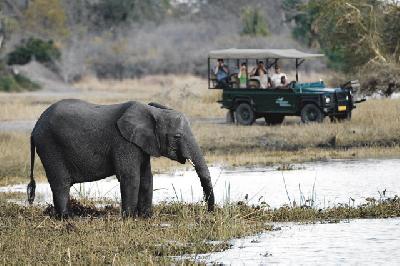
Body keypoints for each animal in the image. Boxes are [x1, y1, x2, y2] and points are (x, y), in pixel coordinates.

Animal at [26, 98, 214, 217]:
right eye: (177, 136)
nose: (209, 211)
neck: (153, 112)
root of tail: (34, 128)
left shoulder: (140, 144)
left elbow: (146, 178)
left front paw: (146, 217)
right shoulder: (123, 142)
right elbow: (131, 177)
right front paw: (129, 218)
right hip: (50, 145)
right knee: (61, 183)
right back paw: (67, 218)